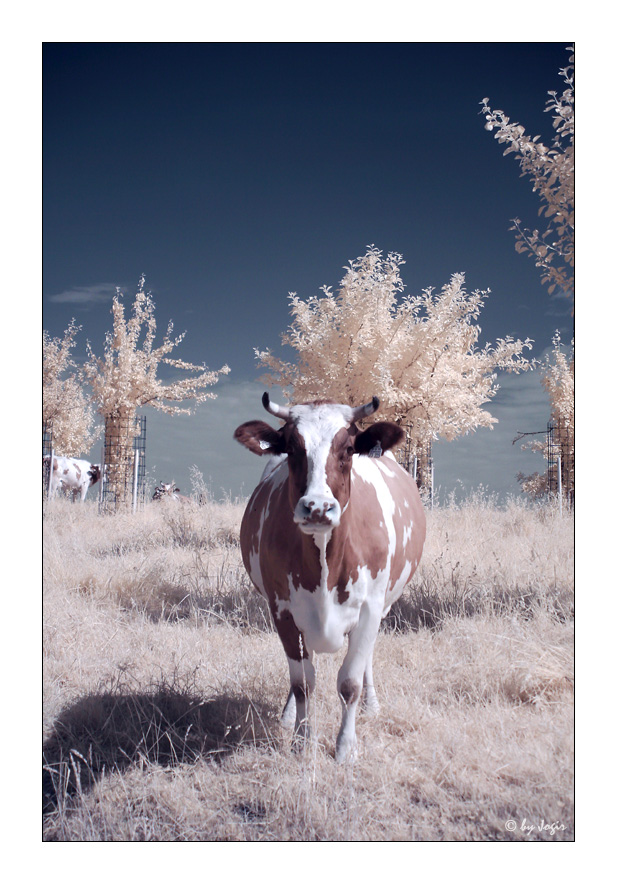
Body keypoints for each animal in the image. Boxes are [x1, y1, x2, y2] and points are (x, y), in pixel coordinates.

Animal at [232, 392, 424, 760]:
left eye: (348, 449)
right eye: (291, 448)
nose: (318, 507)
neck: (324, 564)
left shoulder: (370, 610)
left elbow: (350, 682)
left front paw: (346, 747)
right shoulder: (283, 611)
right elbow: (303, 682)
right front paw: (301, 740)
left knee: (366, 662)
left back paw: (371, 705)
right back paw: (288, 715)